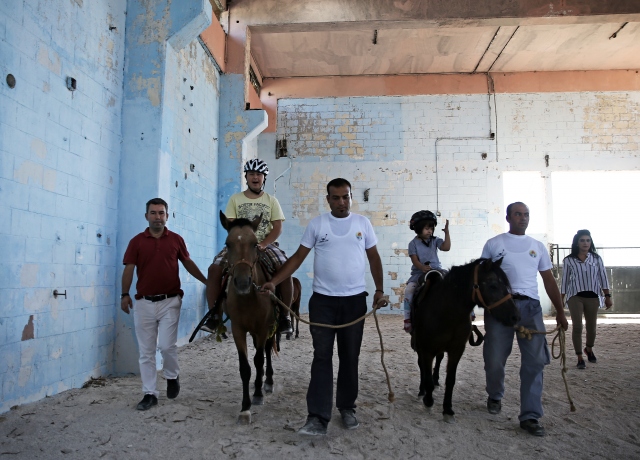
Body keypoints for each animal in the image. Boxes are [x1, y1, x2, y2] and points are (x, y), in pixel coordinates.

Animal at [219, 211, 282, 424]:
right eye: (228, 244)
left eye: (255, 244)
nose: (243, 282)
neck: (248, 298)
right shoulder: (238, 330)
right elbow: (245, 368)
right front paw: (245, 408)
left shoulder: (263, 328)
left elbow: (259, 360)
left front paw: (258, 395)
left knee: (267, 352)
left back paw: (267, 382)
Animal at [411, 258, 520, 423]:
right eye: (493, 285)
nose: (515, 317)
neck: (446, 312)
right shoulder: (427, 348)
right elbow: (426, 372)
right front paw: (428, 401)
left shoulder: (457, 349)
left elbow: (450, 380)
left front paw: (447, 409)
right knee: (422, 366)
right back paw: (422, 390)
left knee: (439, 359)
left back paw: (436, 381)